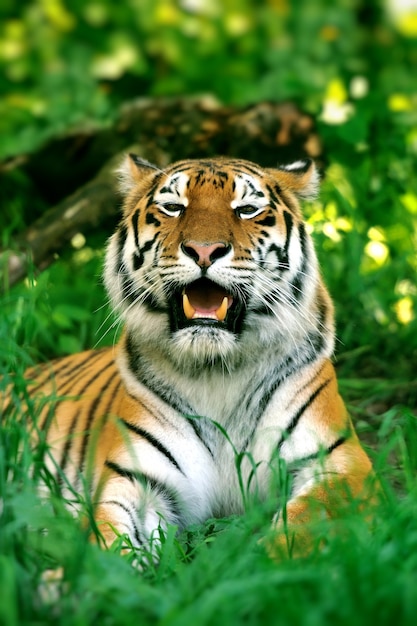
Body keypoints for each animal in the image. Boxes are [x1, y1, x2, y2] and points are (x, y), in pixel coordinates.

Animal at [8, 154, 370, 560]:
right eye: (173, 207)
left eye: (247, 210)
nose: (204, 250)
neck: (219, 371)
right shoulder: (138, 479)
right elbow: (109, 546)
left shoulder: (340, 463)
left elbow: (302, 530)